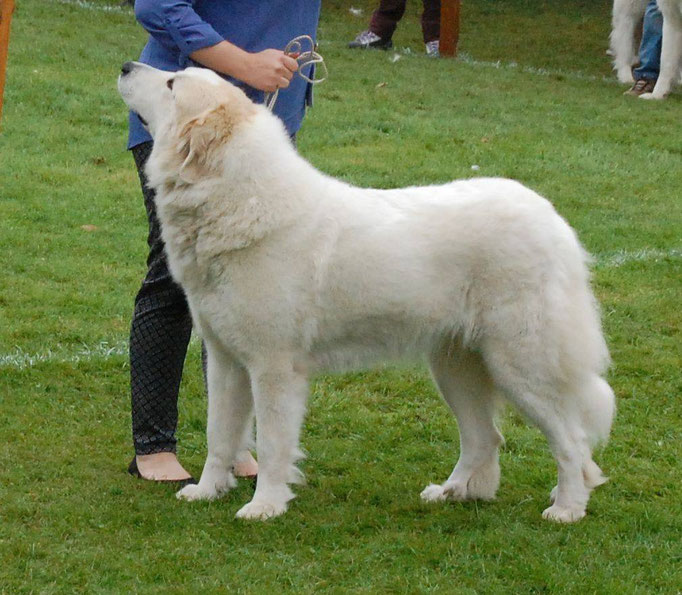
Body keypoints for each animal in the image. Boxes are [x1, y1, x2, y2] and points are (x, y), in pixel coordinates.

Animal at [119, 62, 612, 524]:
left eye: (172, 84)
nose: (126, 66)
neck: (235, 197)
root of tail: (552, 217)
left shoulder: (273, 367)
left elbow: (275, 445)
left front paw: (265, 506)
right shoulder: (226, 362)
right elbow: (219, 436)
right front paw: (206, 492)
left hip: (521, 364)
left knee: (571, 442)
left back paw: (567, 509)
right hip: (456, 366)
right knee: (484, 437)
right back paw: (453, 493)